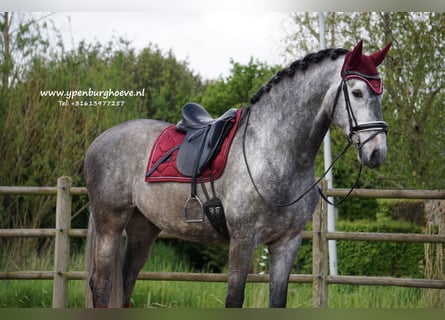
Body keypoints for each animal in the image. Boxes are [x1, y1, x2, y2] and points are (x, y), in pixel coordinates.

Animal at [83, 40, 388, 308]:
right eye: (357, 92)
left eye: (380, 93)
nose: (377, 152)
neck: (271, 151)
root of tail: (99, 141)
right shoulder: (243, 240)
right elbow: (234, 299)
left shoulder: (286, 244)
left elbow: (278, 301)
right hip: (110, 223)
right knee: (101, 285)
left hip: (143, 228)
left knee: (125, 281)